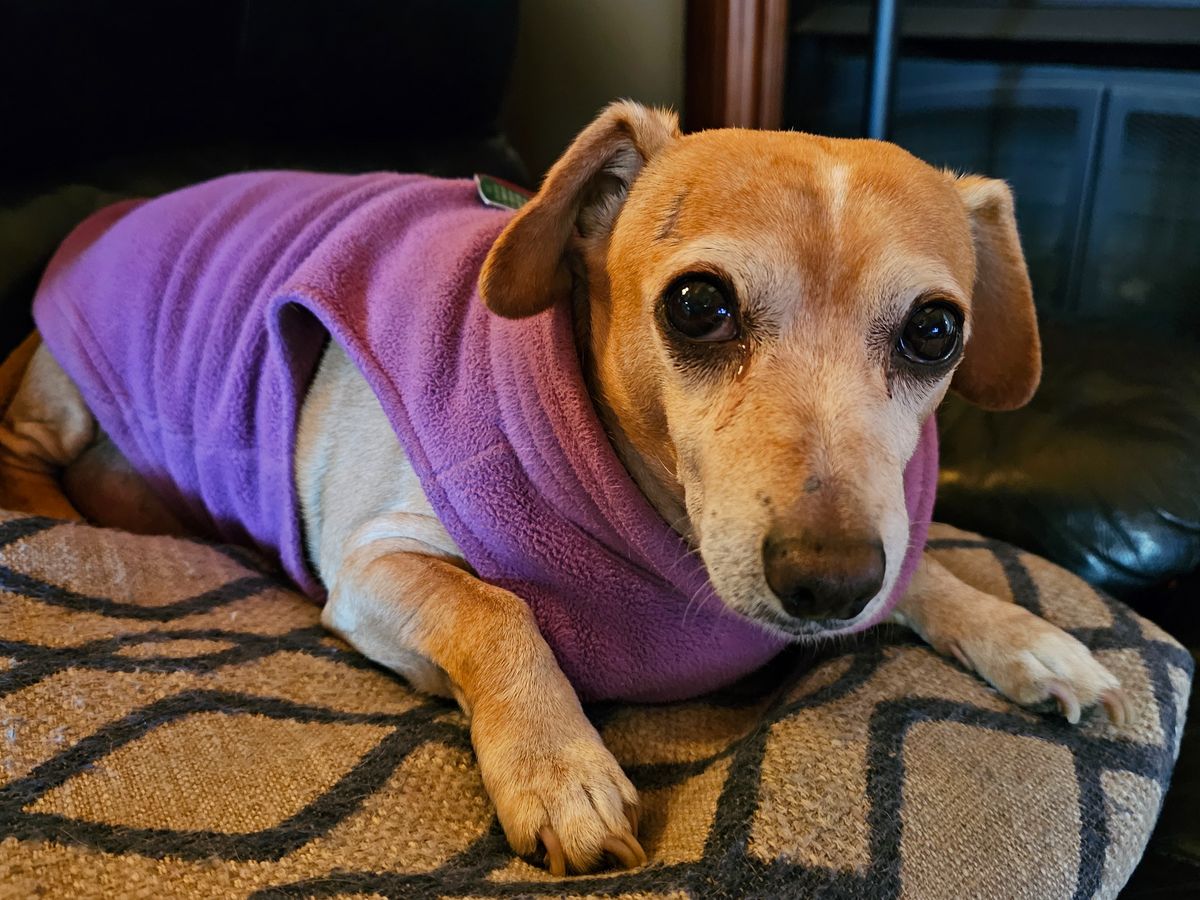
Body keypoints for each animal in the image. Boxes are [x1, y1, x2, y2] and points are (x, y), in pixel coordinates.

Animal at [0, 102, 1128, 876]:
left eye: (935, 331)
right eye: (699, 306)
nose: (829, 585)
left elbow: (922, 571)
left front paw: (1028, 640)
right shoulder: (370, 568)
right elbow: (495, 610)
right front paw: (560, 773)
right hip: (65, 400)